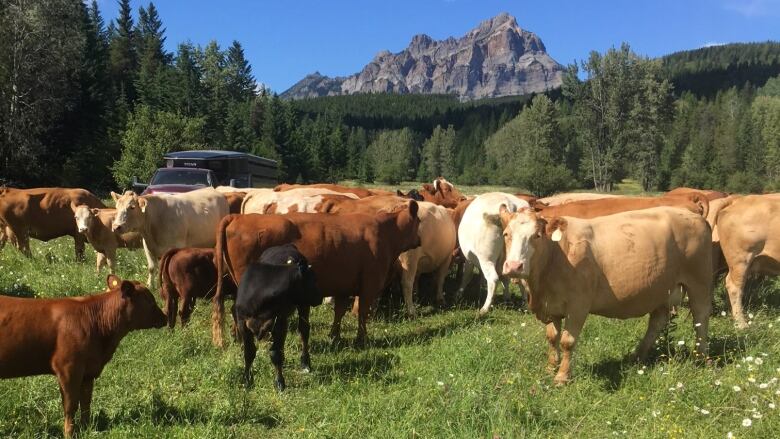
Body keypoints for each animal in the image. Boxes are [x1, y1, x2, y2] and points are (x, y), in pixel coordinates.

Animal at [212, 203, 420, 348]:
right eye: (419, 222)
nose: (419, 240)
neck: (385, 233)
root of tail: (237, 217)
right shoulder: (369, 285)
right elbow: (362, 313)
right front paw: (362, 340)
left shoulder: (343, 284)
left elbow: (339, 312)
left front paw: (334, 336)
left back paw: (238, 337)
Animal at [238, 244, 322, 392]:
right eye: (313, 279)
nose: (320, 297)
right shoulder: (242, 323)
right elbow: (249, 353)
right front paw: (247, 381)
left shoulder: (280, 323)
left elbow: (276, 354)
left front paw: (279, 382)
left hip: (303, 305)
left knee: (304, 330)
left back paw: (305, 362)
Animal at [500, 206, 712, 384]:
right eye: (506, 234)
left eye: (536, 236)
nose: (514, 266)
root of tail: (695, 215)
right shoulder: (550, 306)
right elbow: (552, 338)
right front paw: (550, 368)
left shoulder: (578, 305)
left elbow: (567, 341)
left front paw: (562, 376)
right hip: (660, 289)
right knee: (657, 322)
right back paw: (637, 356)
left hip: (699, 282)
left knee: (701, 317)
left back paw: (701, 358)